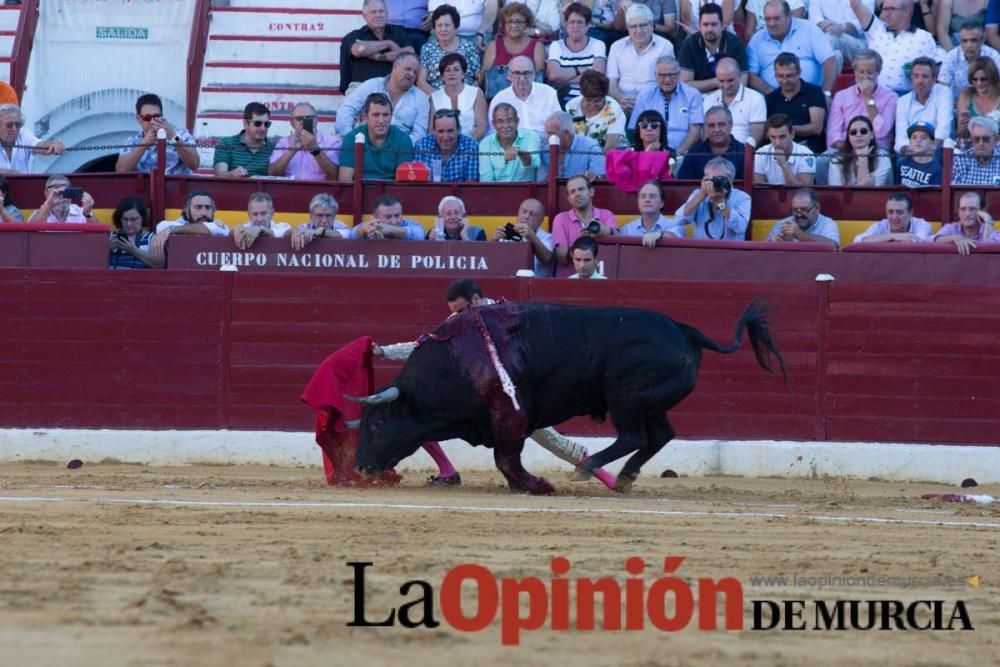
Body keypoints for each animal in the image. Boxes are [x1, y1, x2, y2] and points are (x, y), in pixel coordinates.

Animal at [348, 300, 784, 494]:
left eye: (380, 422)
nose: (361, 467)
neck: (456, 359)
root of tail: (684, 330)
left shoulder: (510, 418)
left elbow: (505, 458)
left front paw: (536, 485)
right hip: (650, 401)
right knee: (659, 436)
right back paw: (622, 478)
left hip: (624, 397)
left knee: (634, 436)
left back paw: (589, 468)